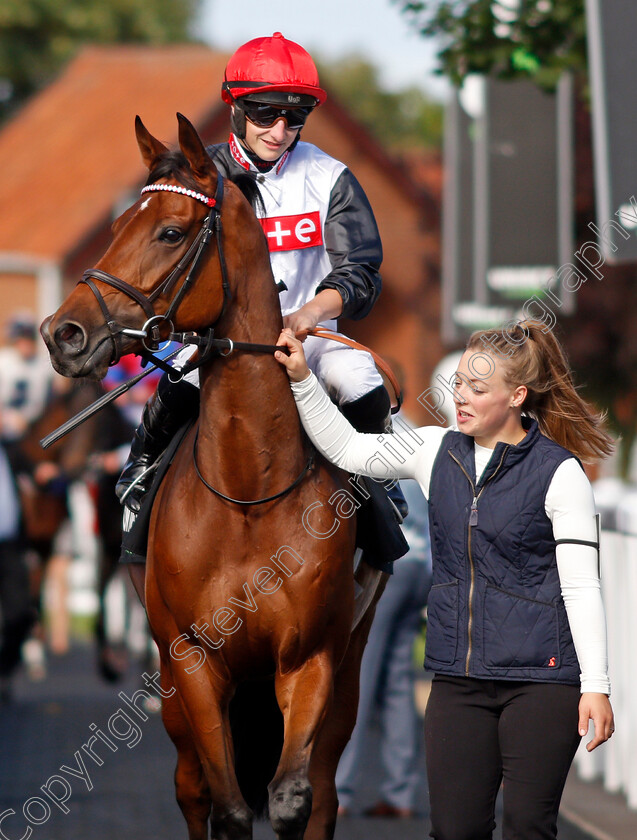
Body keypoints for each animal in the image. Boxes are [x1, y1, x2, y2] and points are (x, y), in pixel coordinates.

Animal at [42, 115, 386, 840]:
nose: (64, 333)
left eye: (170, 232)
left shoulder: (310, 660)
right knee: (192, 787)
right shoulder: (194, 660)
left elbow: (291, 798)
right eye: (120, 223)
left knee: (321, 789)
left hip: (346, 669)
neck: (248, 492)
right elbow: (226, 806)